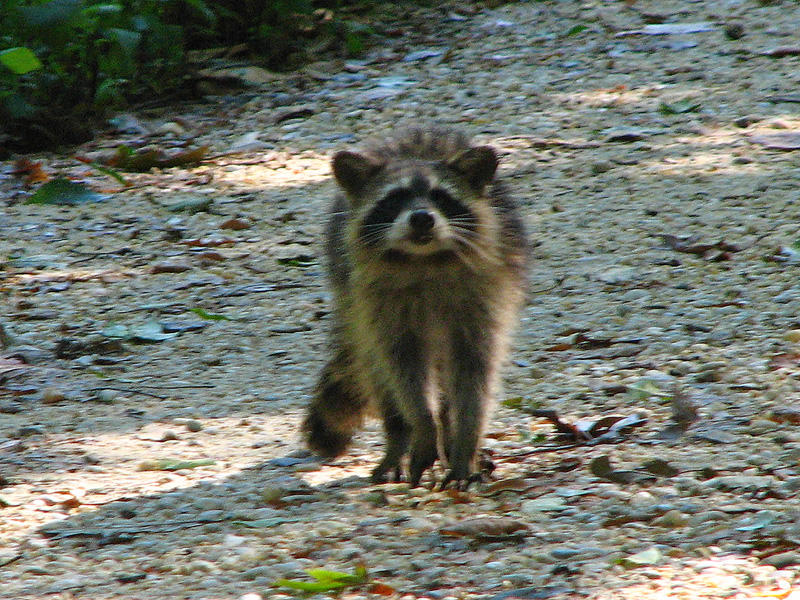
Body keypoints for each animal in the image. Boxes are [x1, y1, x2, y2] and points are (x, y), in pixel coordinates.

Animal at [300, 126, 524, 488]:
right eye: (394, 198)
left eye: (441, 197)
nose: (421, 218)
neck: (425, 261)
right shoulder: (378, 303)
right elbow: (402, 367)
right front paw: (421, 425)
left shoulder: (485, 295)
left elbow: (475, 372)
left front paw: (465, 441)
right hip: (353, 304)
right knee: (379, 374)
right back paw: (399, 440)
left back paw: (449, 435)